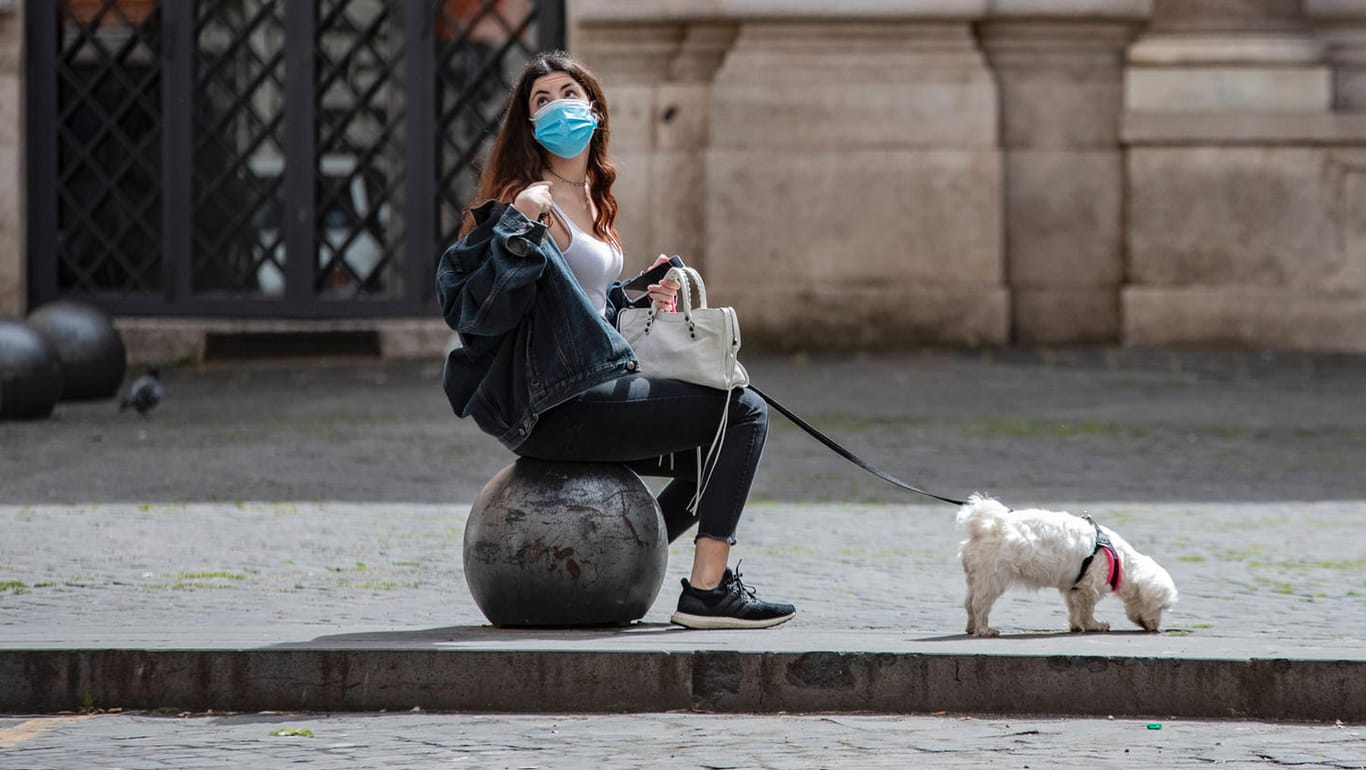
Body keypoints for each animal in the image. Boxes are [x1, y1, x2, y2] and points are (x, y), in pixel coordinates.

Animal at [961, 494, 1174, 638]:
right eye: (1161, 607)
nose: (1156, 628)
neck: (1121, 561)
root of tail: (983, 527)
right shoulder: (1090, 587)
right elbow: (1087, 610)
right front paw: (1094, 625)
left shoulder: (1074, 587)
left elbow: (1074, 608)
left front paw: (1076, 626)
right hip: (992, 578)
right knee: (980, 605)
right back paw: (984, 629)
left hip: (976, 578)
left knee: (969, 603)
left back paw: (972, 627)